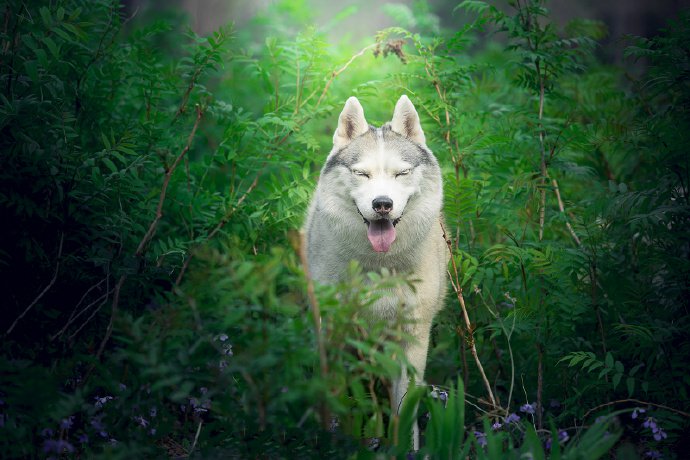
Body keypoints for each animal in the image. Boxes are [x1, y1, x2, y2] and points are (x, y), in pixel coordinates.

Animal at [302, 94, 446, 450]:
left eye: (401, 173)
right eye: (362, 174)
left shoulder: (411, 339)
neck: (378, 267)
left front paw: (406, 450)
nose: (383, 204)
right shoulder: (334, 333)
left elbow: (404, 409)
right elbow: (336, 393)